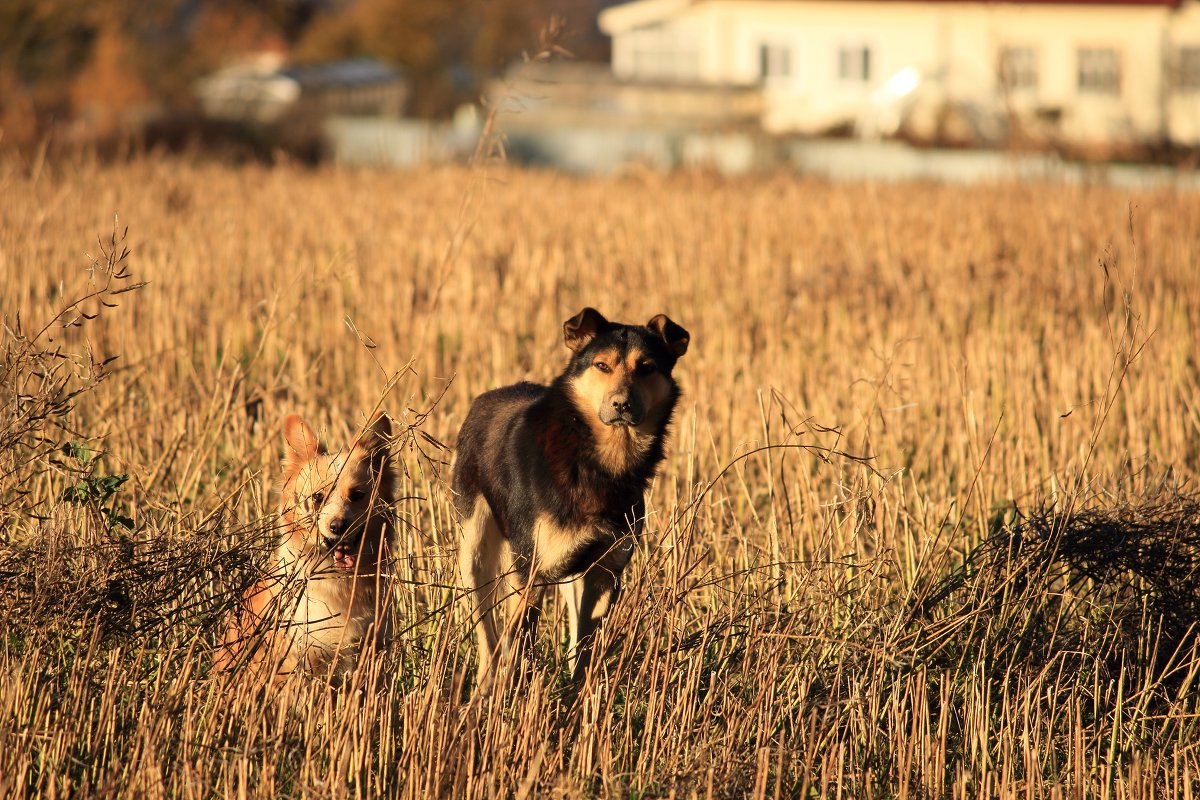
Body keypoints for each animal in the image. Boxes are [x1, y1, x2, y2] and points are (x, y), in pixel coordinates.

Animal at [451, 309, 696, 690]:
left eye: (647, 367)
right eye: (602, 365)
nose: (622, 404)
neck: (599, 462)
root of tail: (485, 398)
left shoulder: (605, 571)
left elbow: (585, 649)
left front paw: (579, 695)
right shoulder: (530, 572)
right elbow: (516, 642)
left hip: (570, 571)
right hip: (474, 552)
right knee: (488, 635)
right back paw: (486, 685)